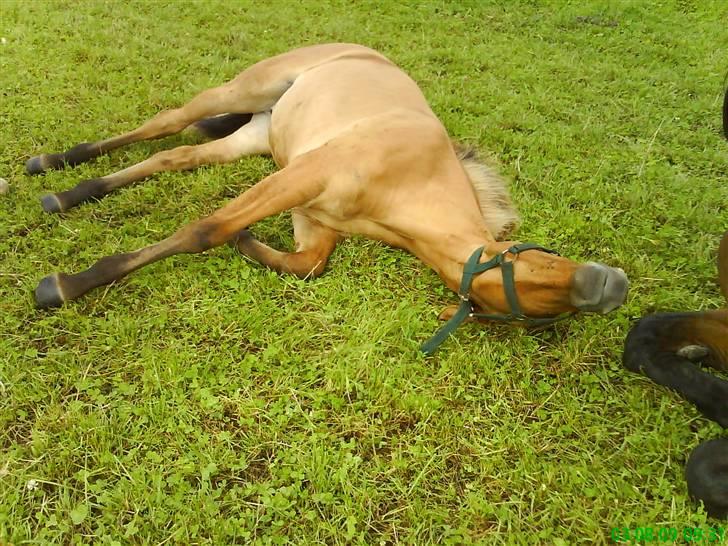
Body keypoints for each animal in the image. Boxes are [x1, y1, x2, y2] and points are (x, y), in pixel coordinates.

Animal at [25, 41, 628, 348]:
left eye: (539, 314)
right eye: (531, 275)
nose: (610, 287)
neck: (410, 181)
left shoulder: (312, 212)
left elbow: (309, 263)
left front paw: (249, 244)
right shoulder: (303, 176)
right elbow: (205, 229)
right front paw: (64, 286)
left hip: (255, 134)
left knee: (174, 155)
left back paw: (65, 194)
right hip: (241, 92)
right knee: (165, 124)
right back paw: (49, 166)